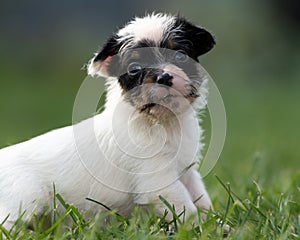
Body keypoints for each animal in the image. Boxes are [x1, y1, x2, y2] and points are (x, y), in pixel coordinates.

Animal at [0, 13, 216, 229]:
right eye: (134, 69)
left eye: (180, 55)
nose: (163, 77)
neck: (160, 121)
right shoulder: (159, 182)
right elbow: (186, 210)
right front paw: (198, 228)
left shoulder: (188, 173)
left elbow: (202, 200)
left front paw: (215, 224)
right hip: (25, 202)